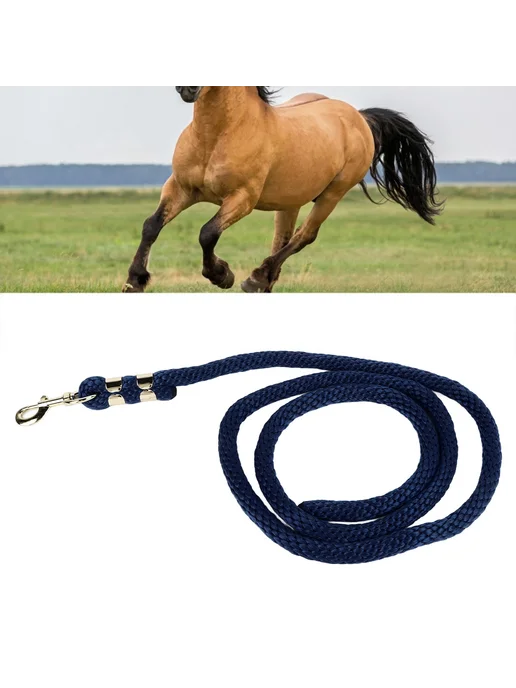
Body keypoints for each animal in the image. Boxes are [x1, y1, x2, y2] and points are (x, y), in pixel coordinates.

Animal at [123, 81, 443, 293]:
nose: (187, 86)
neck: (219, 134)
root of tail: (359, 117)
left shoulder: (242, 198)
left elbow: (207, 233)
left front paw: (221, 275)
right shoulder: (180, 188)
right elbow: (151, 226)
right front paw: (135, 280)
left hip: (332, 194)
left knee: (304, 236)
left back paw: (255, 278)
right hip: (291, 202)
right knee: (283, 239)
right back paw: (264, 281)